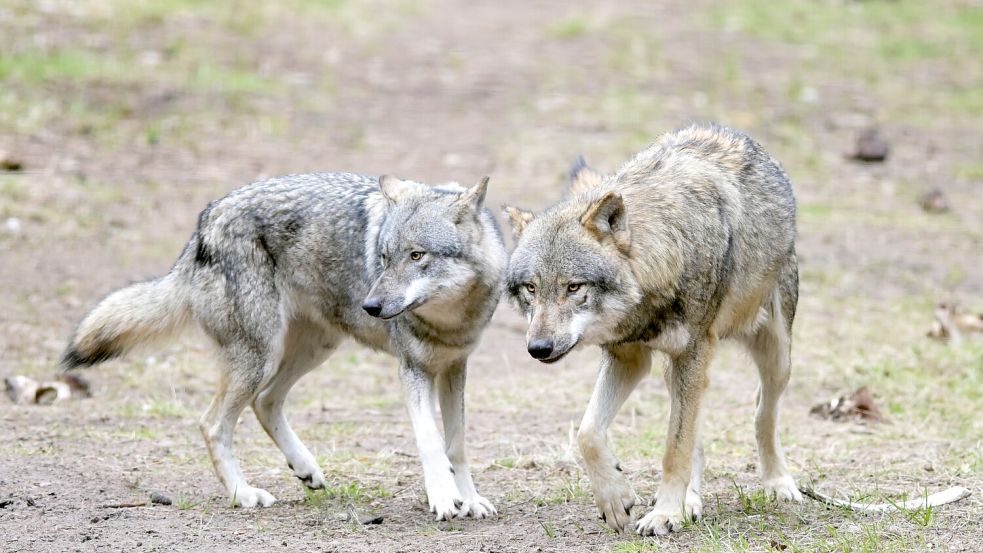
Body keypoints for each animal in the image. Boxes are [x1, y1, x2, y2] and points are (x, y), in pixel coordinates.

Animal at [62, 171, 506, 520]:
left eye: (417, 256)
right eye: (383, 258)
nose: (371, 306)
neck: (450, 319)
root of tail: (205, 222)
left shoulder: (454, 369)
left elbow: (456, 445)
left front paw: (470, 499)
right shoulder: (413, 370)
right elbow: (431, 442)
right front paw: (444, 499)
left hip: (314, 348)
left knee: (265, 402)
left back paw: (304, 468)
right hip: (260, 358)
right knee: (212, 423)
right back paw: (243, 495)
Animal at [503, 123, 802, 536]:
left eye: (573, 287)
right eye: (531, 289)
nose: (539, 348)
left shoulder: (692, 352)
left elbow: (675, 448)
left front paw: (664, 514)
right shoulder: (629, 358)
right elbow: (588, 433)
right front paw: (616, 499)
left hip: (775, 356)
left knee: (762, 412)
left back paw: (777, 483)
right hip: (676, 370)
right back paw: (691, 501)